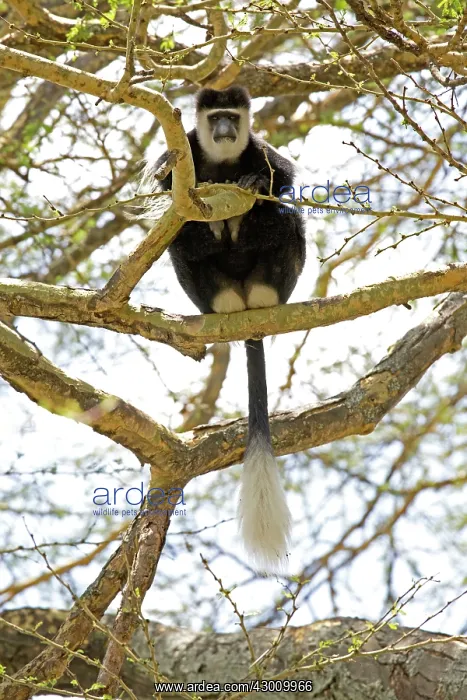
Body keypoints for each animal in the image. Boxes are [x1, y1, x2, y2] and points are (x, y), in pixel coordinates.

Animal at [151, 86, 306, 573]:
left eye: (233, 118)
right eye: (215, 116)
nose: (222, 130)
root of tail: (245, 308)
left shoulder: (260, 148)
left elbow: (284, 177)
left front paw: (256, 185)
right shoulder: (185, 151)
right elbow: (165, 189)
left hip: (277, 278)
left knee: (286, 215)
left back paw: (249, 223)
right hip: (206, 289)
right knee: (181, 238)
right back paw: (213, 235)